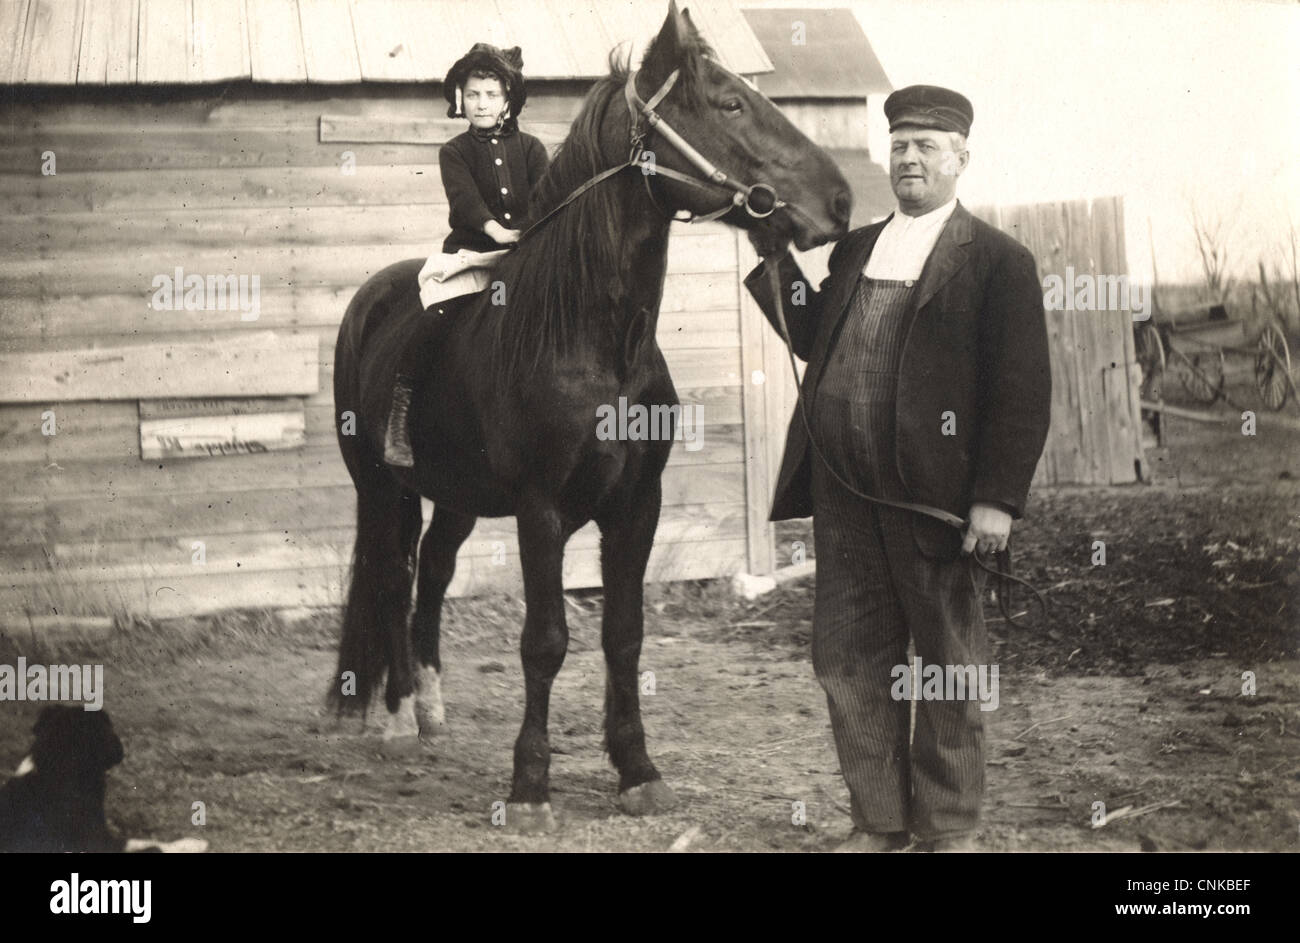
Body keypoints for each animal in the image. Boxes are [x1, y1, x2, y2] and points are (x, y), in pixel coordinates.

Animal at [330, 5, 847, 832]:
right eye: (729, 103)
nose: (838, 201)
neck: (593, 339)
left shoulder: (637, 506)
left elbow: (624, 635)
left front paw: (638, 768)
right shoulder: (541, 510)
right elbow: (545, 640)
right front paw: (530, 784)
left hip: (457, 497)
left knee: (433, 572)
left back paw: (433, 710)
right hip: (383, 490)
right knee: (390, 574)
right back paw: (397, 716)